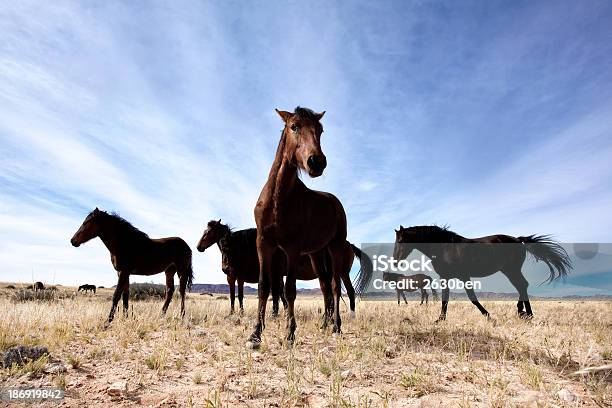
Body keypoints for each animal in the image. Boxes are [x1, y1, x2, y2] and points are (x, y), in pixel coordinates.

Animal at [196, 222, 370, 314]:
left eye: (208, 232)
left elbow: (273, 293)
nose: (199, 247)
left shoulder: (239, 277)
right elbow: (275, 293)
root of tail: (349, 244)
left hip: (341, 272)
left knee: (347, 291)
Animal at [246, 106, 350, 348]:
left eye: (320, 130)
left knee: (334, 285)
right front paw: (255, 334)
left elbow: (290, 290)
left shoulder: (292, 249)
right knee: (324, 286)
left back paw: (336, 327)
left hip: (336, 247)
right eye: (294, 126)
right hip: (316, 253)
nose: (317, 162)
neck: (278, 199)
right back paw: (324, 325)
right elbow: (264, 287)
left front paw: (290, 333)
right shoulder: (263, 244)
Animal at [394, 225, 572, 320]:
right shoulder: (446, 277)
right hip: (509, 270)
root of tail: (518, 239)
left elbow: (472, 298)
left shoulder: (463, 276)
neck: (444, 247)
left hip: (511, 269)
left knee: (522, 285)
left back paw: (526, 313)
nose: (396, 260)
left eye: (401, 240)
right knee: (522, 286)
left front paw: (488, 316)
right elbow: (445, 299)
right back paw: (522, 312)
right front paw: (440, 319)